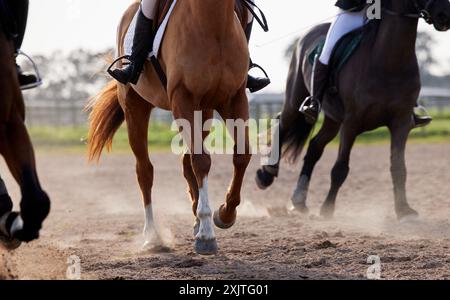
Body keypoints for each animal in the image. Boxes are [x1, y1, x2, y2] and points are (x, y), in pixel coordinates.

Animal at [86, 0, 251, 255]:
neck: (213, 23)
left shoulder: (234, 99)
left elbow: (242, 155)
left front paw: (224, 214)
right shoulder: (183, 98)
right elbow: (201, 161)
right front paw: (207, 235)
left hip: (204, 112)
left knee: (186, 161)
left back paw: (195, 218)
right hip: (135, 107)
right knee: (145, 170)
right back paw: (153, 237)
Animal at [256, 0, 450, 220]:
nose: (445, 15)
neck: (389, 61)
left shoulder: (400, 123)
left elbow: (399, 167)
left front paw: (404, 210)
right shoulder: (352, 122)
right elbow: (340, 168)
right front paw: (327, 209)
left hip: (333, 119)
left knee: (314, 147)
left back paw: (299, 200)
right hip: (295, 100)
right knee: (283, 124)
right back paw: (266, 175)